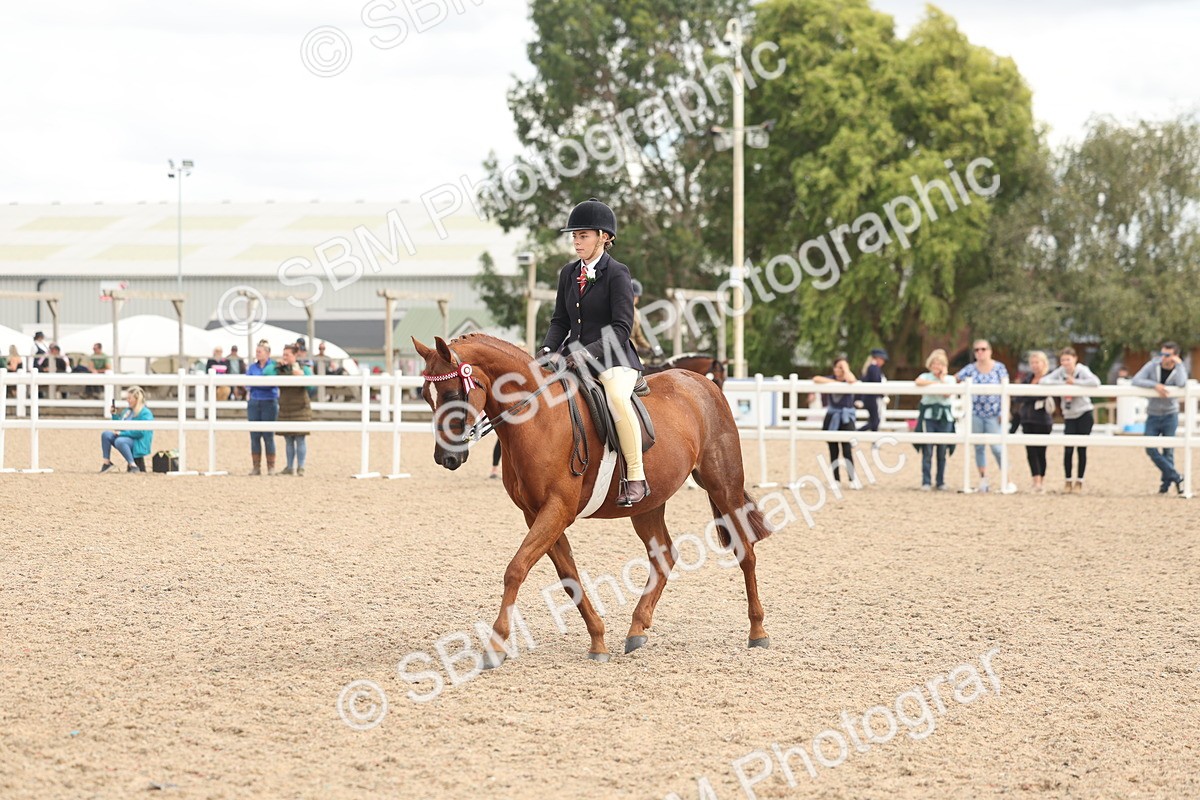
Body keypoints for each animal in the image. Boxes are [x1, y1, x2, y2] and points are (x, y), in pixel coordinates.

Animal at [413, 333, 771, 667]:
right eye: (426, 396)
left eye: (451, 394)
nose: (445, 458)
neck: (539, 418)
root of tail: (701, 384)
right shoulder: (537, 513)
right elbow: (568, 577)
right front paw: (598, 640)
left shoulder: (557, 509)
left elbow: (516, 569)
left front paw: (495, 646)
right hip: (648, 504)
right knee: (664, 556)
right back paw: (637, 629)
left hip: (723, 485)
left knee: (746, 551)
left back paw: (758, 632)